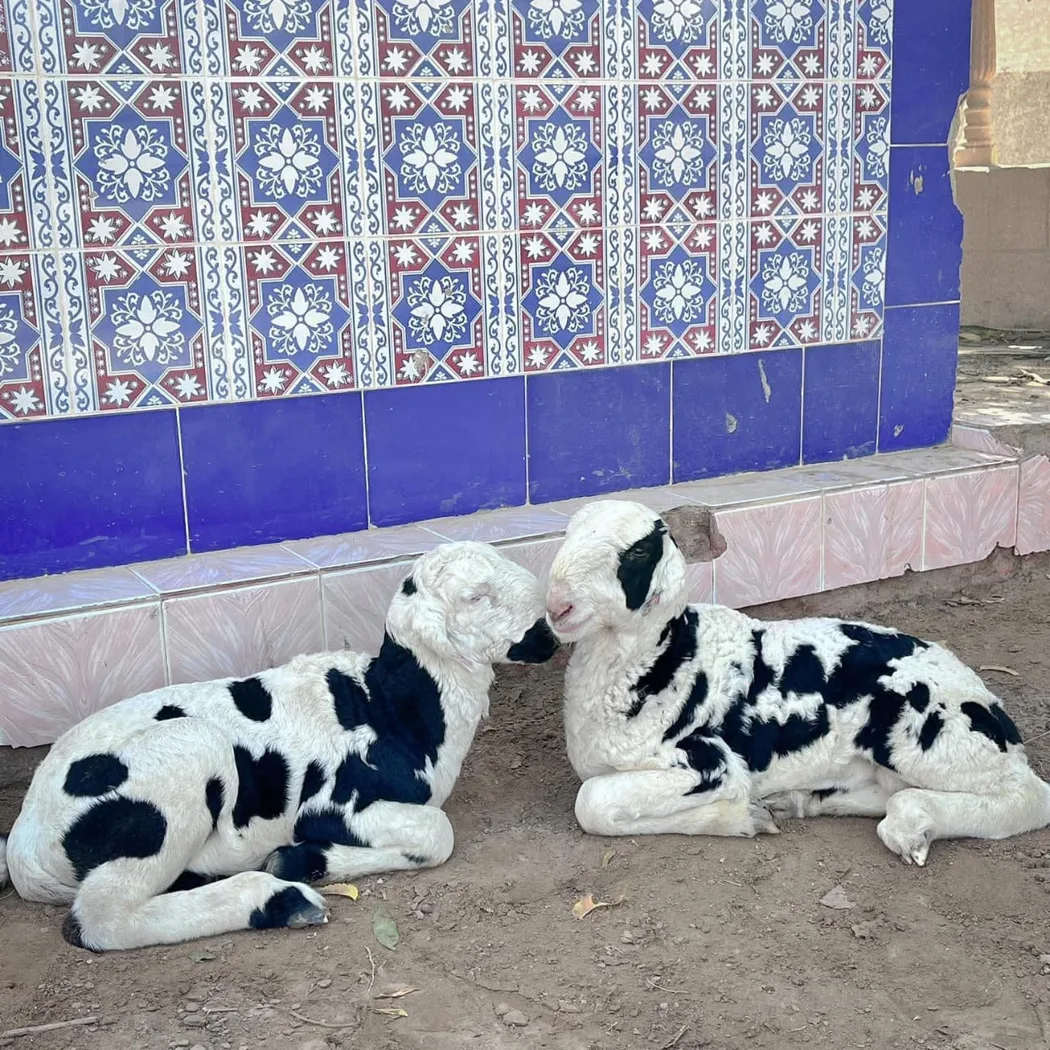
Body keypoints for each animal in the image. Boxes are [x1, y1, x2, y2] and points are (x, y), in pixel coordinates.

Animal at [0, 541, 557, 951]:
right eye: (476, 596)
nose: (548, 631)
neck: (391, 709)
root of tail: (25, 842)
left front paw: (302, 860)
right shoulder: (334, 804)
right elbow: (438, 834)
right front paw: (295, 861)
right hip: (184, 754)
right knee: (102, 918)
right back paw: (281, 900)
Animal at [545, 499, 1050, 866]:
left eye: (635, 552)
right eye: (567, 536)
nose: (556, 607)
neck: (658, 662)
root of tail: (993, 710)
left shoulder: (709, 762)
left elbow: (591, 804)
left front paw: (744, 817)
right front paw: (756, 814)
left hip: (923, 730)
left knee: (1028, 797)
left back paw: (909, 828)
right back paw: (800, 801)